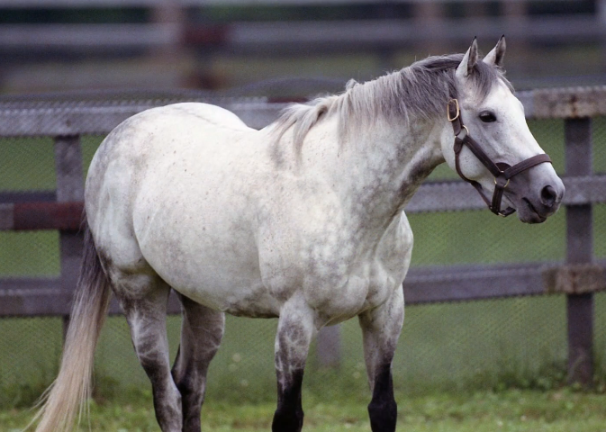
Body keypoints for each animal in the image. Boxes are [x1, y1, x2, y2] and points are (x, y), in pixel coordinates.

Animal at [33, 38, 564, 432]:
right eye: (487, 116)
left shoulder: (385, 313)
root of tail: (116, 139)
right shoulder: (295, 322)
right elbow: (288, 418)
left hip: (203, 304)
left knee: (190, 389)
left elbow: (382, 409)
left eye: (519, 110)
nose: (549, 193)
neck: (340, 194)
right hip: (139, 295)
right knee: (166, 397)